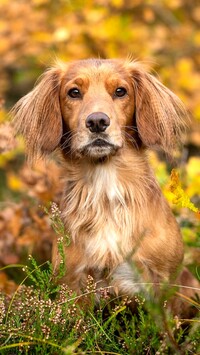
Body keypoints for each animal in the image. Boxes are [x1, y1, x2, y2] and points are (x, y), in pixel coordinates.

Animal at [11, 59, 199, 318]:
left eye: (121, 91)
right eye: (74, 92)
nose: (97, 122)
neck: (105, 191)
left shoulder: (163, 282)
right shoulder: (74, 285)